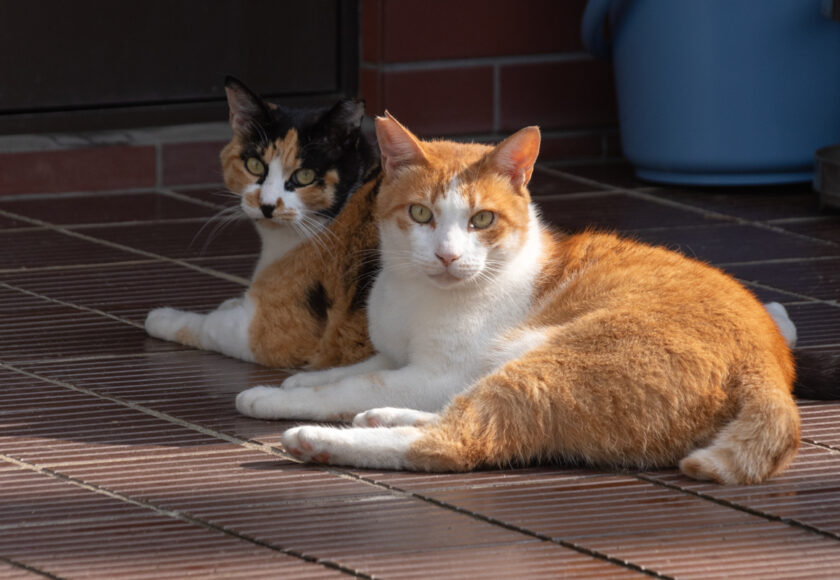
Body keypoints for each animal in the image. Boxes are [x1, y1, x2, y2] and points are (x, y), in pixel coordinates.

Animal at [145, 77, 380, 368]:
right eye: (255, 165)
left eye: (305, 176)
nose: (267, 205)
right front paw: (230, 302)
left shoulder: (273, 329)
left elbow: (209, 326)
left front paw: (161, 317)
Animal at [238, 113, 808, 484]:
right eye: (420, 214)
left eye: (482, 219)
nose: (447, 255)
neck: (415, 292)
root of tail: (772, 363)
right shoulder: (398, 356)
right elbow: (354, 370)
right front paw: (303, 379)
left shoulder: (436, 372)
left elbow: (352, 385)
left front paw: (276, 397)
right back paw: (385, 416)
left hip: (552, 365)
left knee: (458, 440)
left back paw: (317, 440)